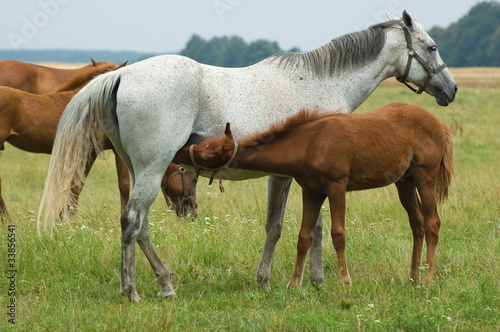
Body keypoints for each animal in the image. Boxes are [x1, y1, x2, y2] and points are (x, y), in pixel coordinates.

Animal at [180, 103, 454, 288]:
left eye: (208, 151)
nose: (181, 151)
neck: (310, 143)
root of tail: (440, 124)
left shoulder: (337, 186)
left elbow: (338, 234)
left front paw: (345, 281)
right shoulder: (311, 191)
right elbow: (304, 236)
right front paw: (293, 284)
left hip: (425, 176)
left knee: (432, 223)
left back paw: (428, 278)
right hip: (404, 182)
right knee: (417, 224)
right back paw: (413, 277)